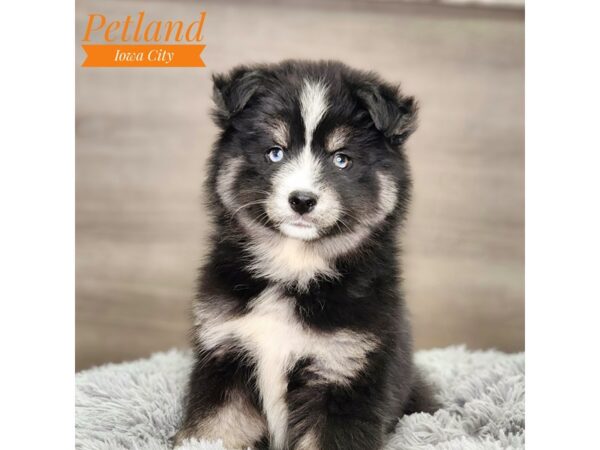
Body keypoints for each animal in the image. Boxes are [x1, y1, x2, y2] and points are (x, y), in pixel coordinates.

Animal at [173, 60, 436, 450]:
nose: (302, 200)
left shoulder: (344, 371)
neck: (295, 268)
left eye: (341, 160)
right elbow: (214, 431)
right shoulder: (224, 356)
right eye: (275, 152)